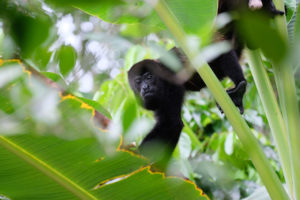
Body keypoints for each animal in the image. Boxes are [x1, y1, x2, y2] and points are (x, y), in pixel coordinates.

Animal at [126, 0, 284, 166]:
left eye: (149, 77)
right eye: (138, 81)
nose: (145, 87)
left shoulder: (171, 85)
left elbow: (172, 123)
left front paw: (137, 157)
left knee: (223, 52)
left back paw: (239, 90)